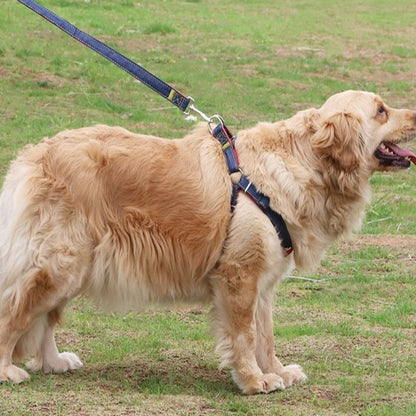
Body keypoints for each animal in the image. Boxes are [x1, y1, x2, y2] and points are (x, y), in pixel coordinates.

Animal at [0, 91, 414, 394]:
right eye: (381, 110)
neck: (303, 161)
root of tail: (32, 156)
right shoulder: (239, 275)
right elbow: (245, 336)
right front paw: (253, 380)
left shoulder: (263, 283)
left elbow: (266, 335)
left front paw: (277, 371)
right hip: (58, 264)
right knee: (15, 312)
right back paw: (7, 370)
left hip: (73, 267)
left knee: (45, 320)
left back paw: (54, 362)